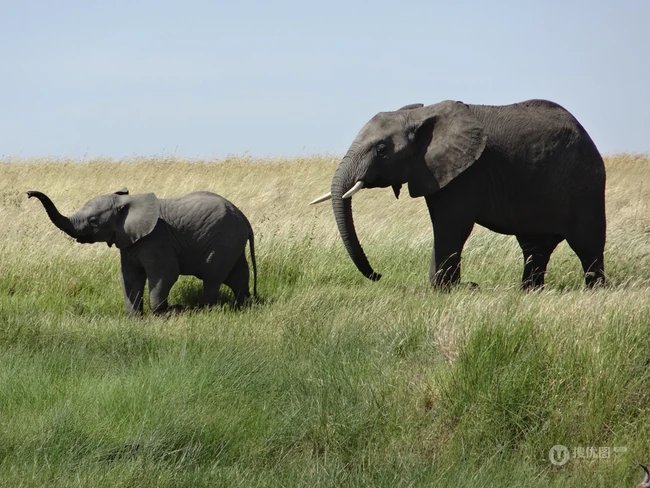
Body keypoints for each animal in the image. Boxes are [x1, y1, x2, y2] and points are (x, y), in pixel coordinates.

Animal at [27, 189, 257, 316]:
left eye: (93, 221)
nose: (29, 194)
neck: (127, 204)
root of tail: (245, 218)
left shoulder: (157, 239)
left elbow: (166, 274)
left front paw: (168, 313)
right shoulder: (128, 242)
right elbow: (129, 277)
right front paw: (133, 319)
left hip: (224, 240)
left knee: (212, 277)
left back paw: (207, 310)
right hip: (232, 242)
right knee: (237, 276)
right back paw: (245, 306)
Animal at [311, 99, 606, 290]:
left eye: (382, 149)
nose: (379, 275)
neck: (422, 115)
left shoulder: (468, 172)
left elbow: (451, 225)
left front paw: (445, 289)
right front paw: (451, 287)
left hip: (585, 184)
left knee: (588, 243)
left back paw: (596, 291)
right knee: (535, 248)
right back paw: (529, 292)